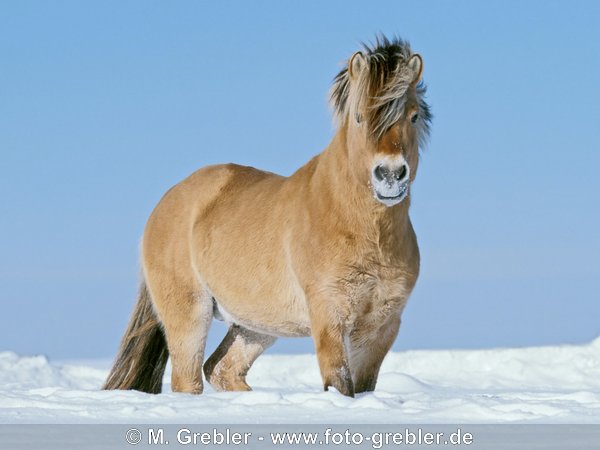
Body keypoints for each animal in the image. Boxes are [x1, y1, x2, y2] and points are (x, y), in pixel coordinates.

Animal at [104, 36, 432, 398]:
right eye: (359, 117)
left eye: (414, 116)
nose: (390, 175)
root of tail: (165, 203)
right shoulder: (329, 316)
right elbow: (339, 383)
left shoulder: (382, 327)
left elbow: (363, 387)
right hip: (190, 315)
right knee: (188, 378)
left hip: (256, 326)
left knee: (221, 368)